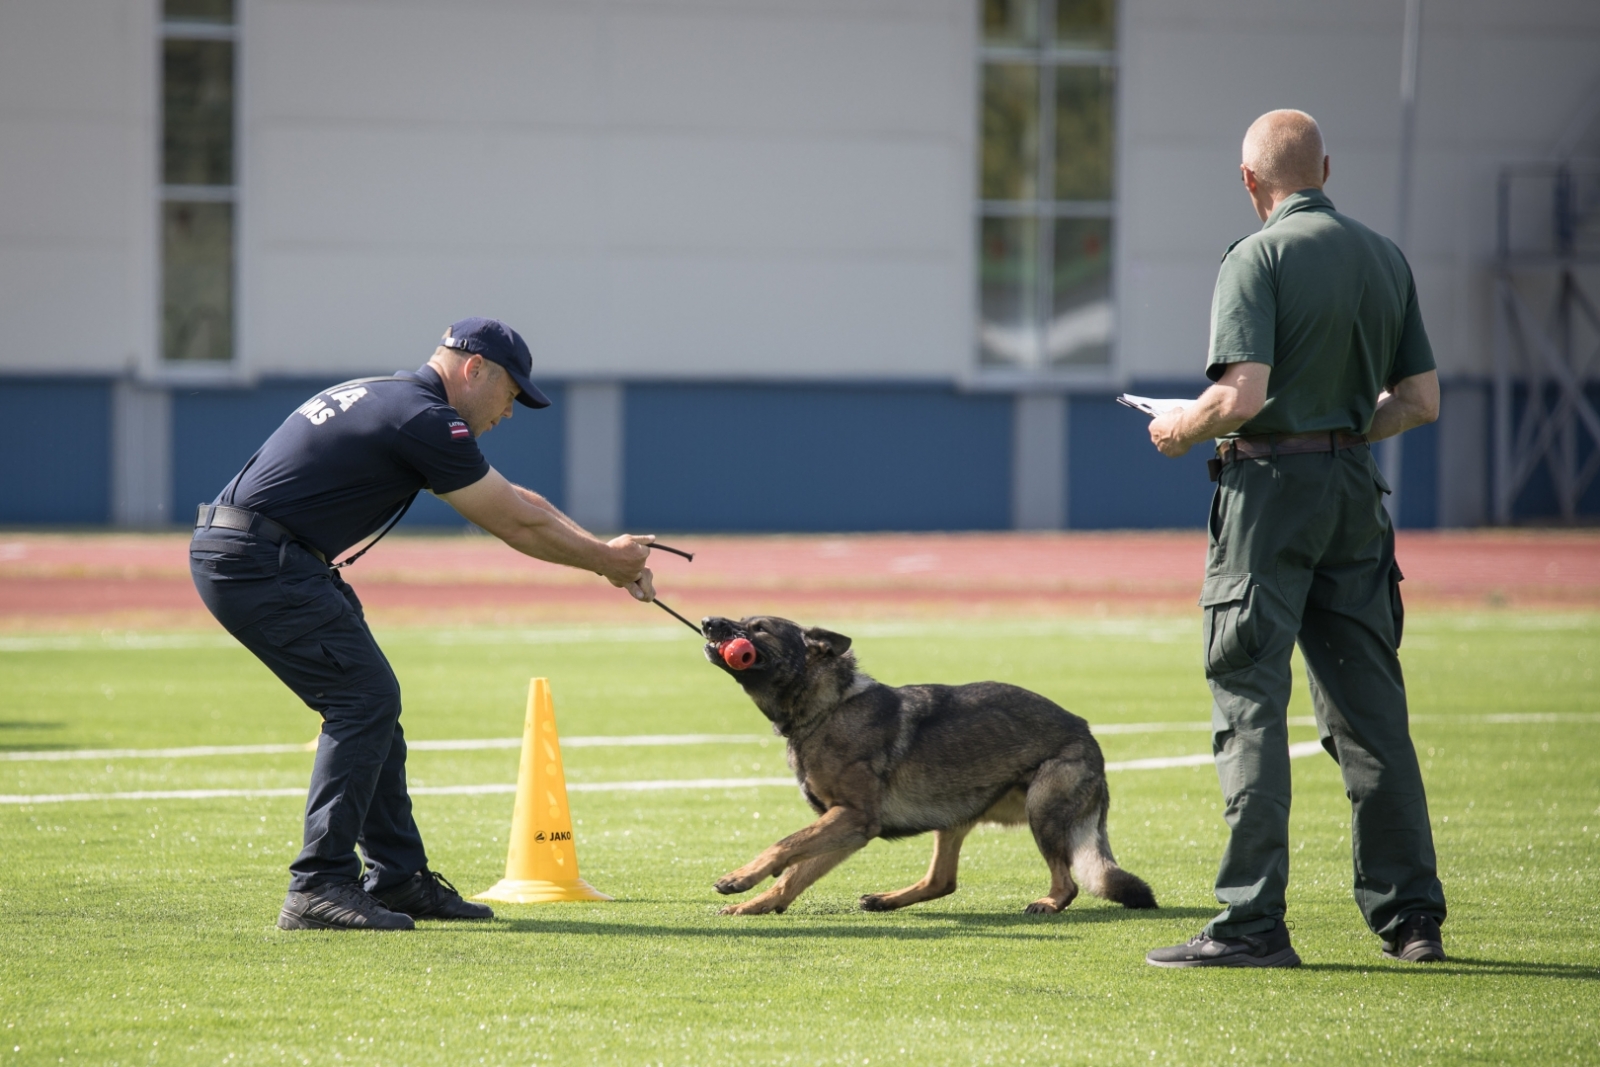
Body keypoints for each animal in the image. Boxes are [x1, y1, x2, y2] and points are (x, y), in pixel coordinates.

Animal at [700, 617, 1152, 921]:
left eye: (759, 628)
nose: (707, 621)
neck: (827, 707)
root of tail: (1086, 731)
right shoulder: (846, 828)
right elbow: (794, 874)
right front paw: (758, 904)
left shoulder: (853, 818)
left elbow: (784, 845)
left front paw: (739, 879)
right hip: (952, 817)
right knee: (942, 881)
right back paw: (887, 900)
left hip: (1042, 809)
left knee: (1067, 881)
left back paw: (1049, 902)